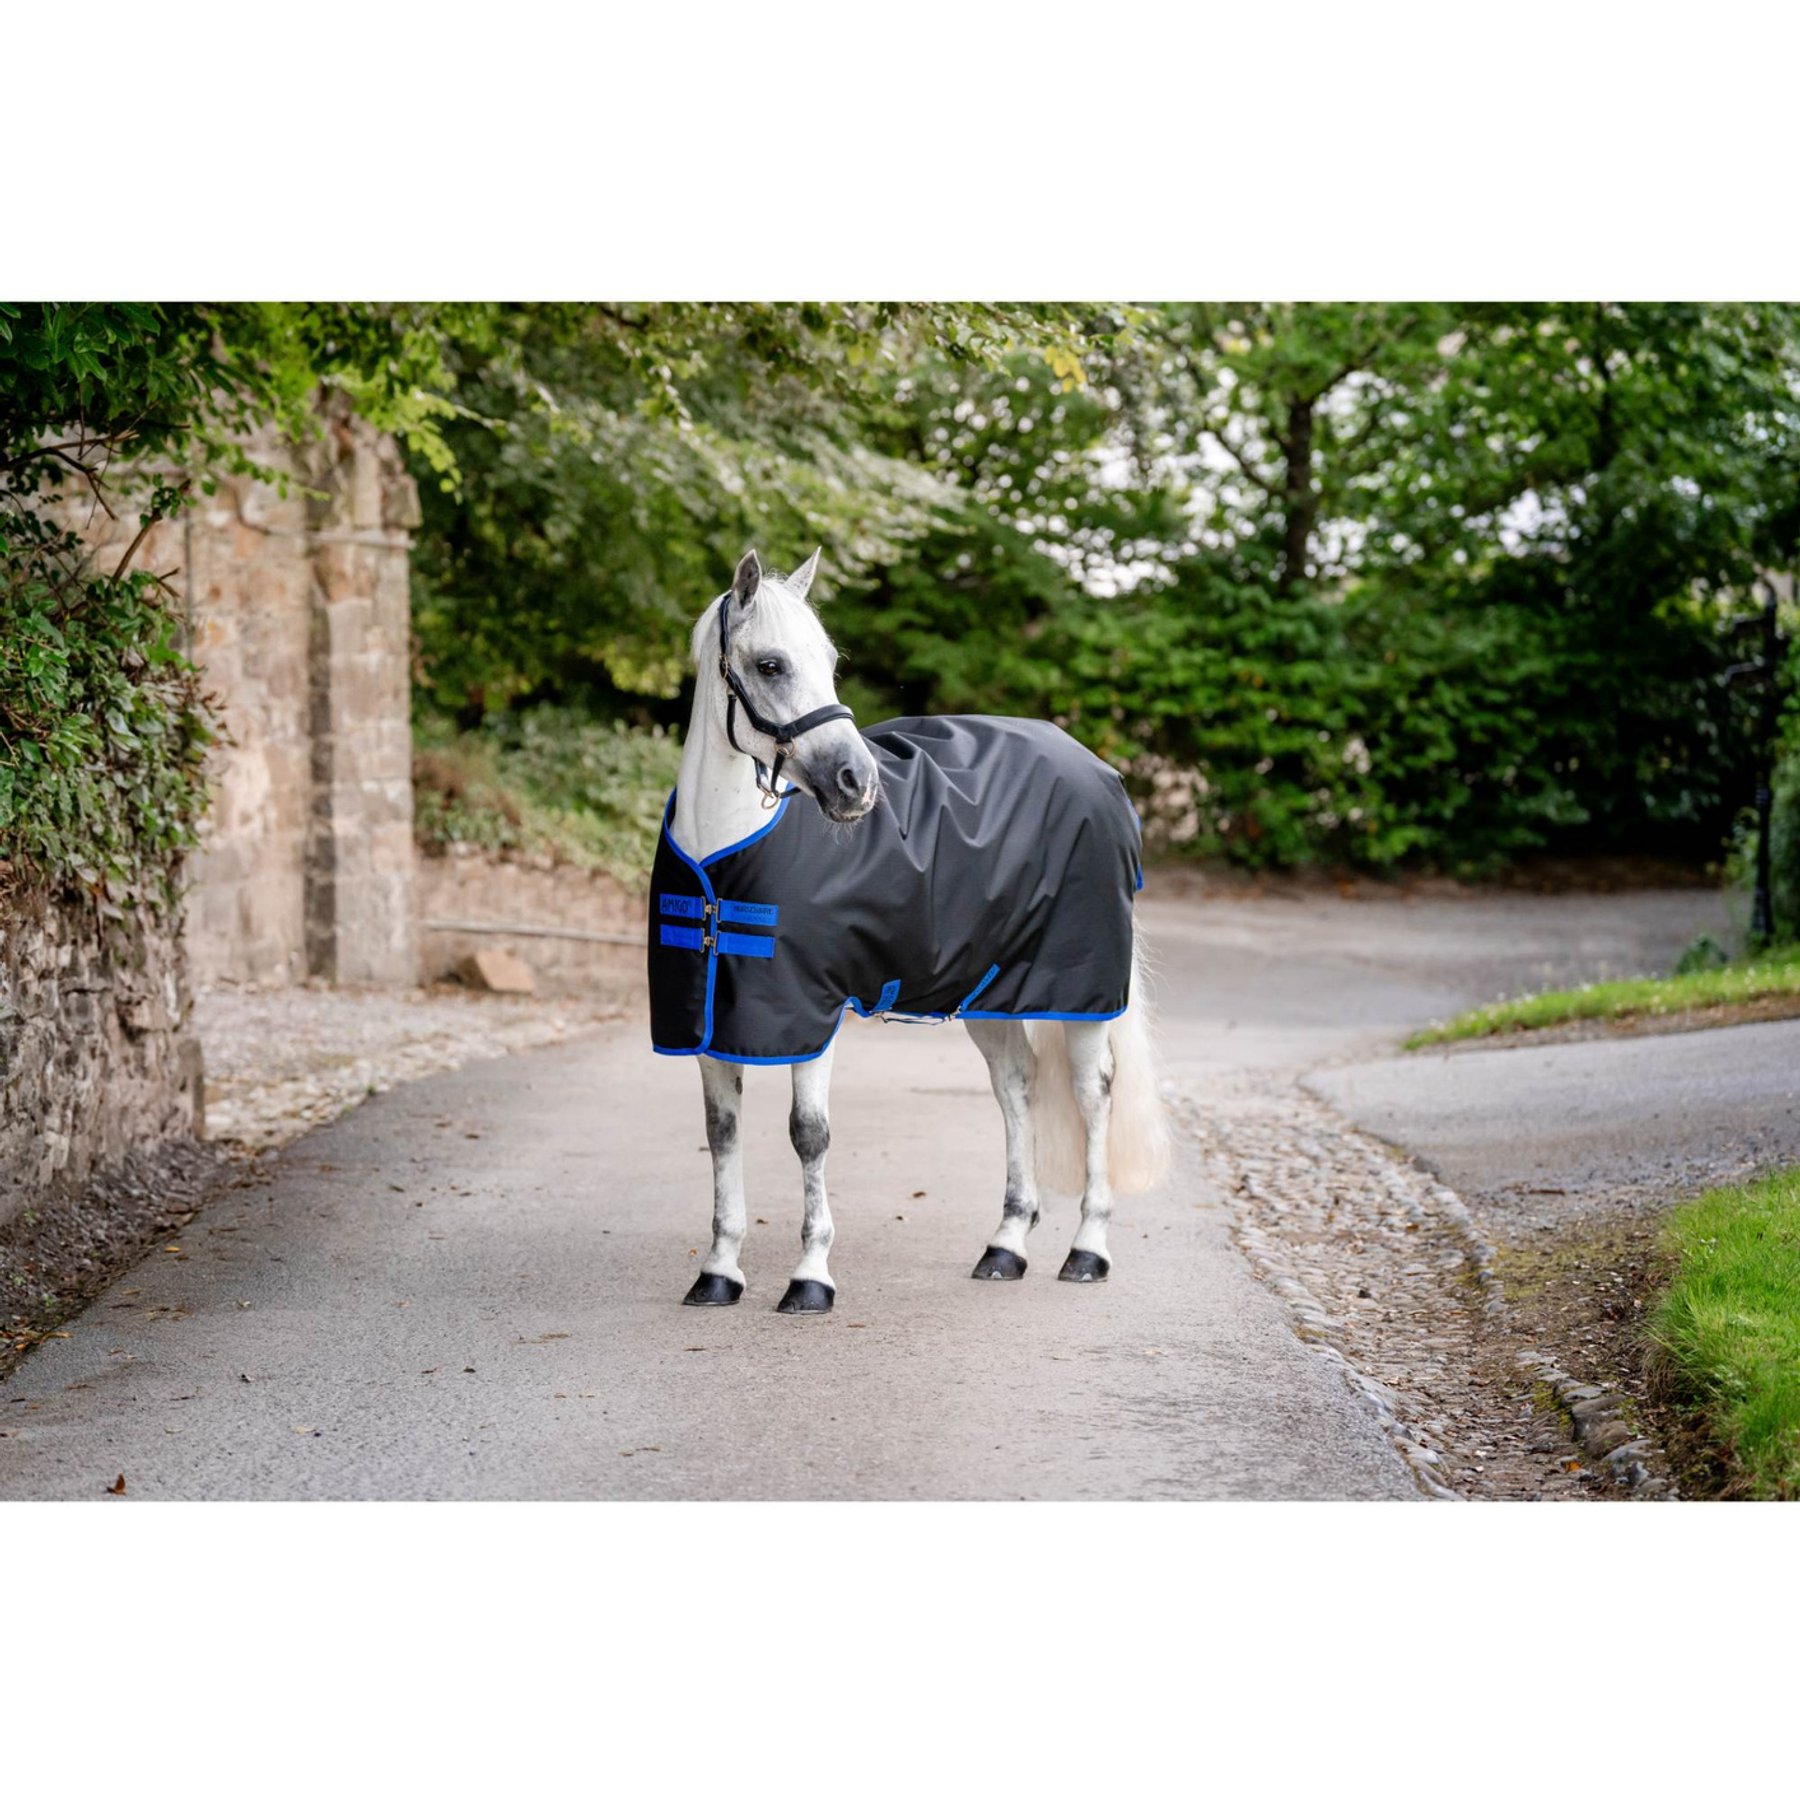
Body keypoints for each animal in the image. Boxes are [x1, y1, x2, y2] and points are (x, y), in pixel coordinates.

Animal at [648, 548, 1170, 1314]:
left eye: (830, 660)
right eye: (771, 664)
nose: (856, 783)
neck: (723, 858)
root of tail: (1100, 770)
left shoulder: (813, 1015)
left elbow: (809, 1135)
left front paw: (811, 1276)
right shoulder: (712, 1022)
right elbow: (722, 1135)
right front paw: (719, 1271)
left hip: (1082, 991)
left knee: (1092, 1092)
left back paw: (1087, 1249)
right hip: (990, 992)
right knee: (1016, 1087)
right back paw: (1006, 1246)